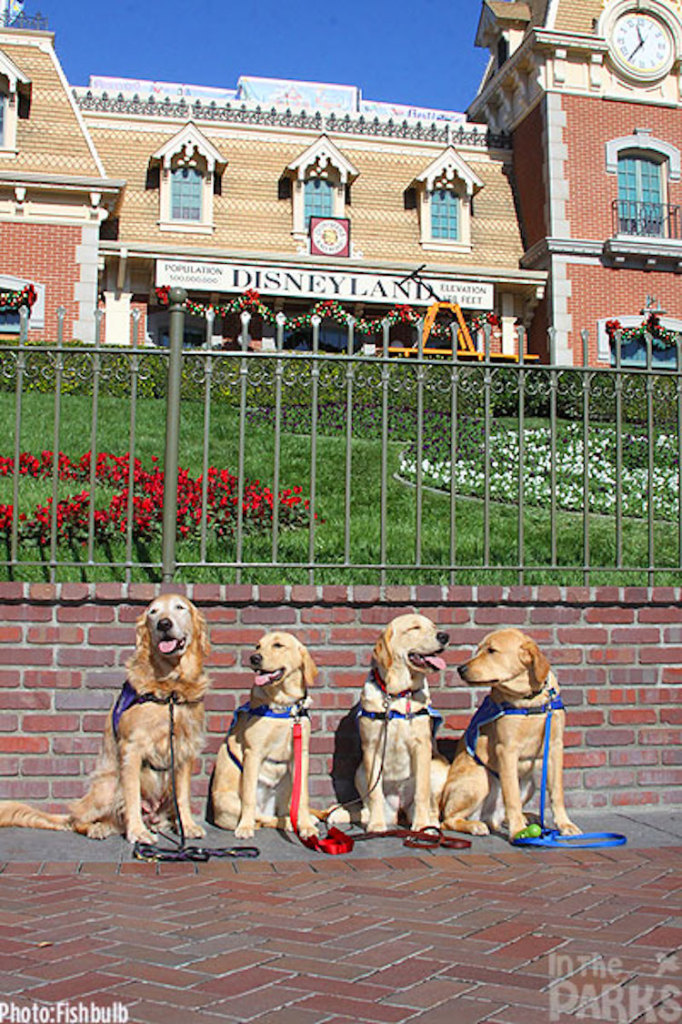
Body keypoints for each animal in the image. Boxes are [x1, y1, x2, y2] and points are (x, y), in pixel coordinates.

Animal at [0, 593, 208, 847]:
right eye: (153, 612)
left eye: (180, 607)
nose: (164, 624)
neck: (170, 689)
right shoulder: (132, 747)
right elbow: (131, 794)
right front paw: (137, 832)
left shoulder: (185, 749)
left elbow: (183, 795)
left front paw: (187, 826)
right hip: (108, 785)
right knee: (78, 819)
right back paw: (97, 829)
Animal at [208, 630, 317, 839]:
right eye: (257, 646)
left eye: (278, 645)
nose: (254, 658)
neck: (284, 704)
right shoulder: (253, 753)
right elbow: (249, 797)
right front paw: (245, 827)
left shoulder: (302, 754)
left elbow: (304, 796)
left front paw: (306, 825)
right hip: (228, 802)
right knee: (260, 817)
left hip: (286, 787)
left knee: (277, 815)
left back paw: (292, 821)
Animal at [327, 610, 448, 835]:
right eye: (414, 627)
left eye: (434, 626)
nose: (444, 636)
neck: (397, 694)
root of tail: (399, 809)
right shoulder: (371, 747)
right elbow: (375, 795)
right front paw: (376, 825)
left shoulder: (422, 746)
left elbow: (422, 791)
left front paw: (421, 825)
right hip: (360, 772)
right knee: (367, 807)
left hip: (438, 768)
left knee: (433, 808)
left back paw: (430, 824)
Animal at [440, 630, 577, 839]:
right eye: (478, 649)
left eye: (491, 650)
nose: (460, 669)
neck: (529, 699)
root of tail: (489, 816)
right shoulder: (506, 750)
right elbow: (511, 796)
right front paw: (519, 831)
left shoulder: (554, 746)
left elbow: (557, 792)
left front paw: (565, 824)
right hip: (480, 778)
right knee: (447, 820)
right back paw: (475, 825)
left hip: (529, 784)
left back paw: (527, 817)